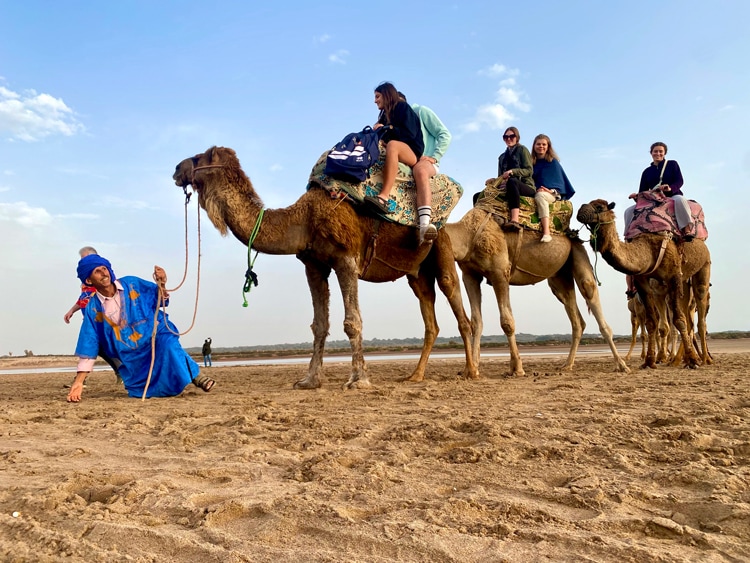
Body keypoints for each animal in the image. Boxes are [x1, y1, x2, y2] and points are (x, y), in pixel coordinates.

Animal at [173, 148, 478, 390]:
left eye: (199, 157)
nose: (177, 169)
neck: (304, 219)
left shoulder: (346, 259)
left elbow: (352, 321)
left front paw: (358, 379)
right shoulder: (314, 265)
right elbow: (319, 324)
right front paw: (309, 380)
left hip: (441, 246)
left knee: (457, 304)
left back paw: (471, 371)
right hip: (417, 272)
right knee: (430, 317)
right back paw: (415, 376)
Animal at [444, 208, 632, 378]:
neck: (467, 234)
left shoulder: (499, 272)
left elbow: (507, 322)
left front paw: (517, 369)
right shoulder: (470, 274)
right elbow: (476, 321)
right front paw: (471, 370)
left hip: (578, 252)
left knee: (589, 289)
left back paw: (622, 365)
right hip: (559, 277)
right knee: (576, 317)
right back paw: (567, 365)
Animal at [580, 199, 712, 370]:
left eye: (599, 207)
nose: (580, 210)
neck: (648, 249)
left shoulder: (673, 276)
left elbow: (678, 320)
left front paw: (692, 361)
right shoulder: (644, 282)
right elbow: (652, 324)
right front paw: (650, 361)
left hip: (704, 265)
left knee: (700, 312)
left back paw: (704, 359)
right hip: (684, 283)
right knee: (688, 318)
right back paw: (681, 359)